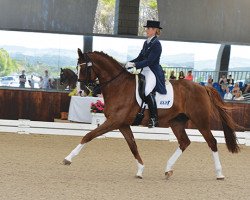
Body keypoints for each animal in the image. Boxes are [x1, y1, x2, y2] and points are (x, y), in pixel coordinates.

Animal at [62, 49, 240, 180]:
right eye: (77, 67)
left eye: (85, 68)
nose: (81, 91)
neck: (118, 85)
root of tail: (202, 87)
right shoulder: (122, 124)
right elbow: (132, 145)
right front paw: (140, 170)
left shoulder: (114, 121)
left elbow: (89, 135)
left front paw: (68, 158)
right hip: (176, 122)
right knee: (184, 142)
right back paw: (168, 169)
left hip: (200, 120)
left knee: (212, 142)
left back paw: (219, 173)